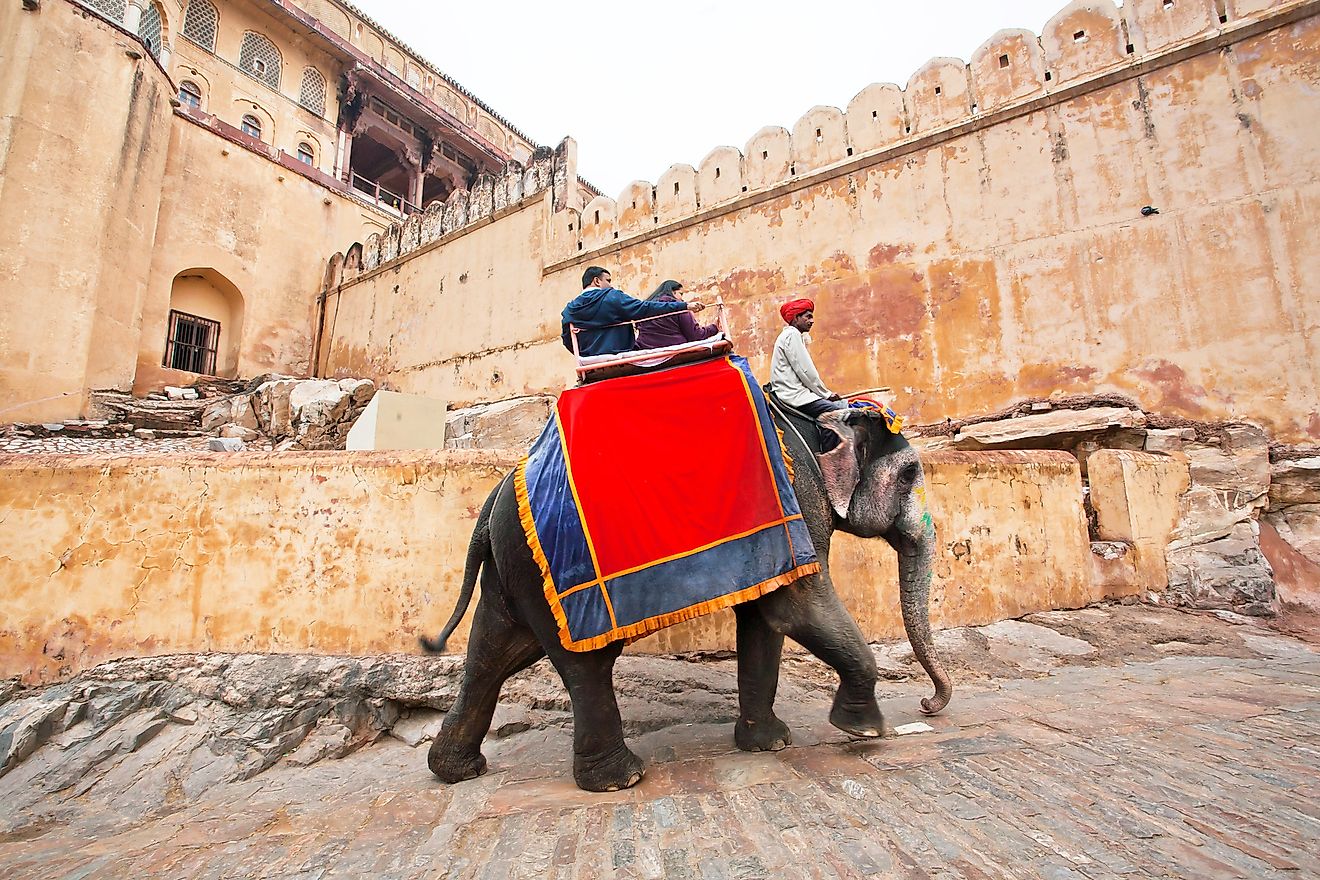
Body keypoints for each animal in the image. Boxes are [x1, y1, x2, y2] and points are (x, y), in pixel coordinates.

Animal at [427, 408, 955, 796]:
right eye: (909, 475)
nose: (928, 705)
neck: (812, 421)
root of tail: (496, 495)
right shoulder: (799, 502)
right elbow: (795, 609)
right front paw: (866, 731)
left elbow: (764, 618)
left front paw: (770, 745)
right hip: (548, 573)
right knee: (583, 664)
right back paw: (621, 780)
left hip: (512, 571)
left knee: (494, 654)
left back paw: (457, 770)